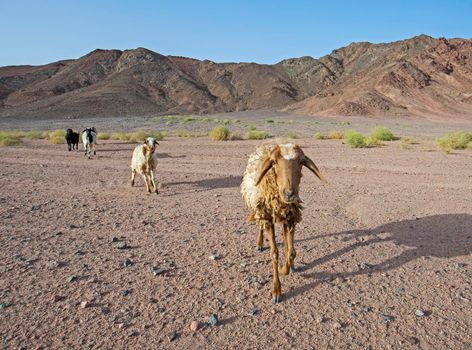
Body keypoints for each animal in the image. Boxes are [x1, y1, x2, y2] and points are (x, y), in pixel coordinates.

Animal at [240, 144, 324, 302]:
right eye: (273, 162)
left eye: (301, 162)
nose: (289, 194)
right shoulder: (268, 218)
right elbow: (274, 253)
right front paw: (276, 291)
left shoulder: (290, 220)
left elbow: (291, 252)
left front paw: (286, 268)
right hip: (259, 209)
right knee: (260, 225)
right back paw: (260, 243)